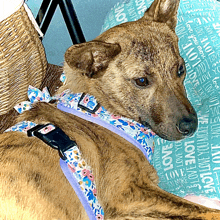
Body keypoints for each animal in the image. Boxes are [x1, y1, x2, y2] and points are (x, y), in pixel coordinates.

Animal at [0, 0, 220, 219]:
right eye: (142, 81)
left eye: (180, 69)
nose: (190, 126)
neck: (99, 109)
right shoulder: (128, 195)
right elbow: (207, 211)